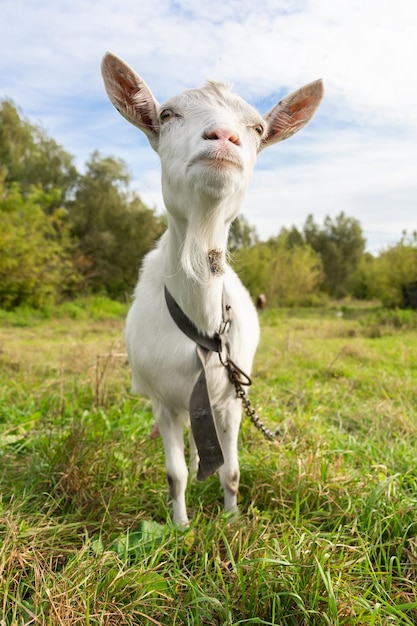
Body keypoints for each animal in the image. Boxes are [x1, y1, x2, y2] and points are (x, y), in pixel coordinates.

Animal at [101, 52, 322, 520]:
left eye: (256, 128)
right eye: (167, 114)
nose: (223, 137)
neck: (203, 328)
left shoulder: (233, 399)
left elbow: (232, 471)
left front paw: (232, 519)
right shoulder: (163, 403)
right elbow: (175, 474)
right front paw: (180, 526)